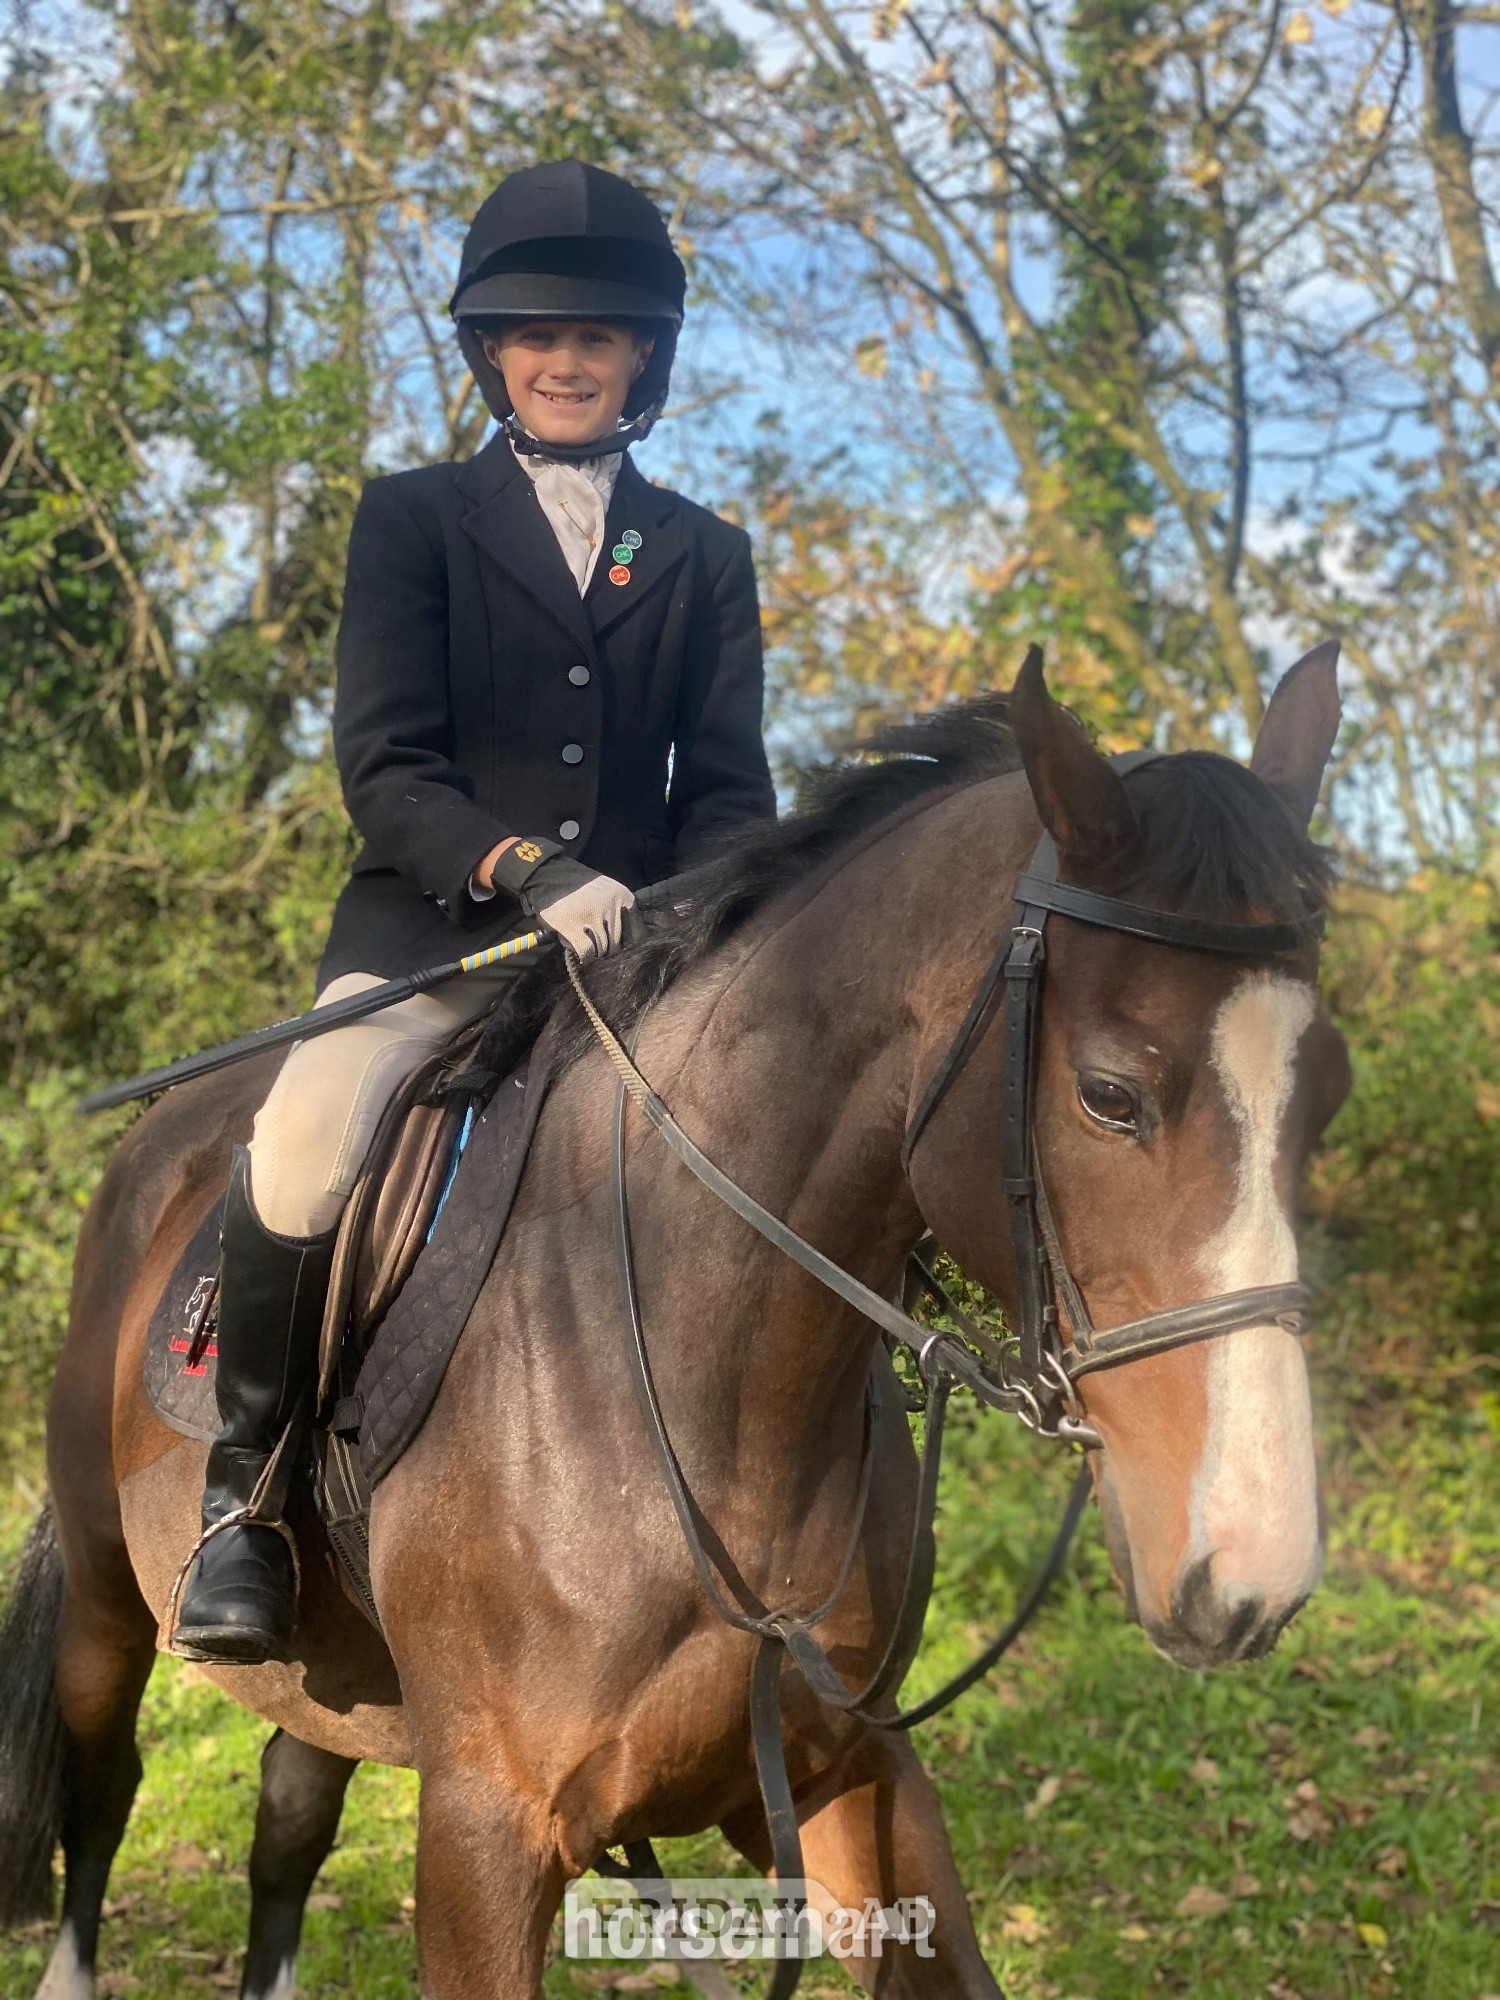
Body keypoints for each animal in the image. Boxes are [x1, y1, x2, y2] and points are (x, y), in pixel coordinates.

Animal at [0, 647, 1351, 2000]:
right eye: (1110, 1094)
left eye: (1326, 1094)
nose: (1252, 1576)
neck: (715, 1400)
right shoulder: (486, 1826)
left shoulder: (841, 1770)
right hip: (113, 1600)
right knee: (106, 1784)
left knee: (288, 1818)